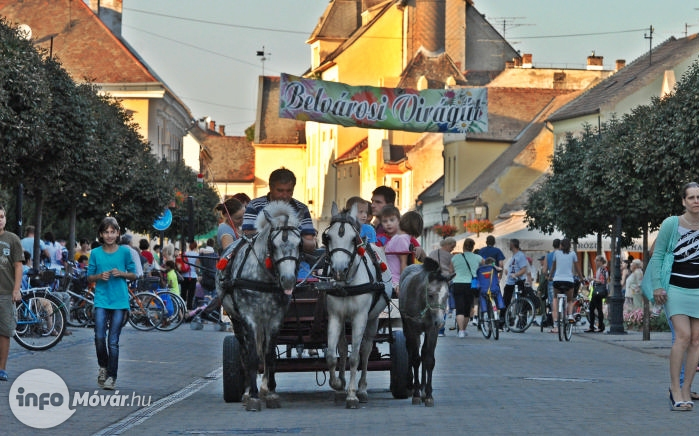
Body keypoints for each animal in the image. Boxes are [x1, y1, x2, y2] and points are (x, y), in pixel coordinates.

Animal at [322, 203, 394, 408]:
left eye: (354, 239)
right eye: (328, 237)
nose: (339, 270)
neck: (347, 284)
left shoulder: (360, 317)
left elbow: (355, 357)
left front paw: (352, 395)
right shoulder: (335, 317)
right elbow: (332, 356)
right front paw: (337, 383)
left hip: (373, 319)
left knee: (366, 350)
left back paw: (362, 389)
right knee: (342, 347)